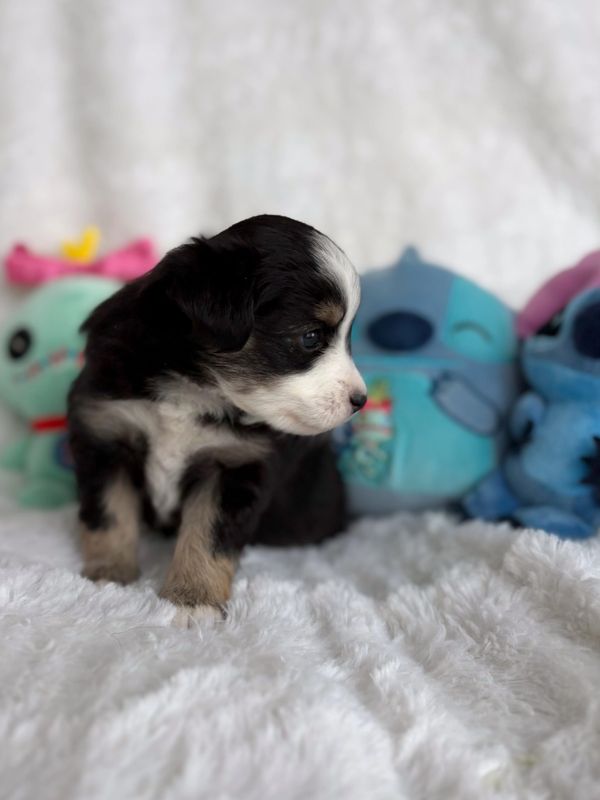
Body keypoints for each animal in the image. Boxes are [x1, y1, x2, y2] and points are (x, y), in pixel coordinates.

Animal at [68, 215, 367, 625]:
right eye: (310, 337)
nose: (360, 400)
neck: (194, 386)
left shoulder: (235, 466)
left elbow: (207, 536)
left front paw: (193, 601)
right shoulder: (106, 433)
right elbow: (110, 512)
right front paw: (110, 576)